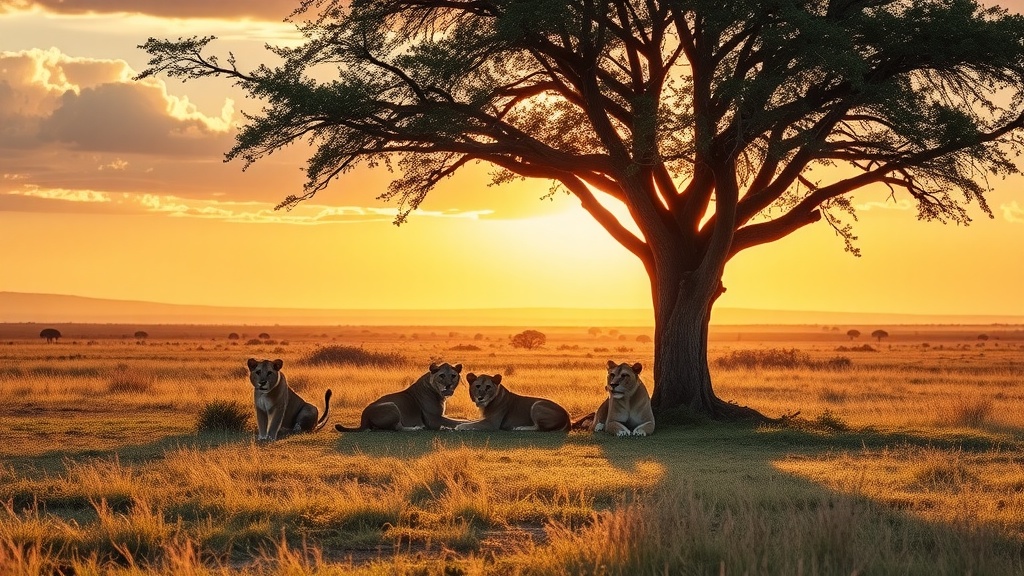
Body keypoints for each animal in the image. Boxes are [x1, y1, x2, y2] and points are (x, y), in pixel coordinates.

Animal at [333, 360, 466, 428]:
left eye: (453, 376)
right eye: (442, 375)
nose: (448, 385)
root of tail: (363, 419)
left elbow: (460, 419)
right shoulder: (433, 419)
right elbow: (457, 422)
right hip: (392, 405)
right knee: (397, 428)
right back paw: (416, 427)